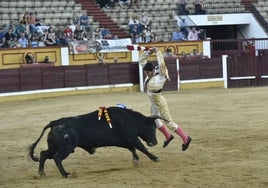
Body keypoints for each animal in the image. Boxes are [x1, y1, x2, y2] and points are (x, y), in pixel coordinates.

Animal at [28, 106, 166, 177]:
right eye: (153, 128)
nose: (155, 142)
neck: (130, 119)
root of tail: (55, 122)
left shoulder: (123, 141)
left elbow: (132, 148)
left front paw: (136, 160)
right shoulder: (132, 138)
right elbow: (141, 147)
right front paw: (155, 158)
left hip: (54, 147)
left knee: (43, 154)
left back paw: (42, 173)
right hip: (66, 147)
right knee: (57, 158)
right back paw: (65, 174)